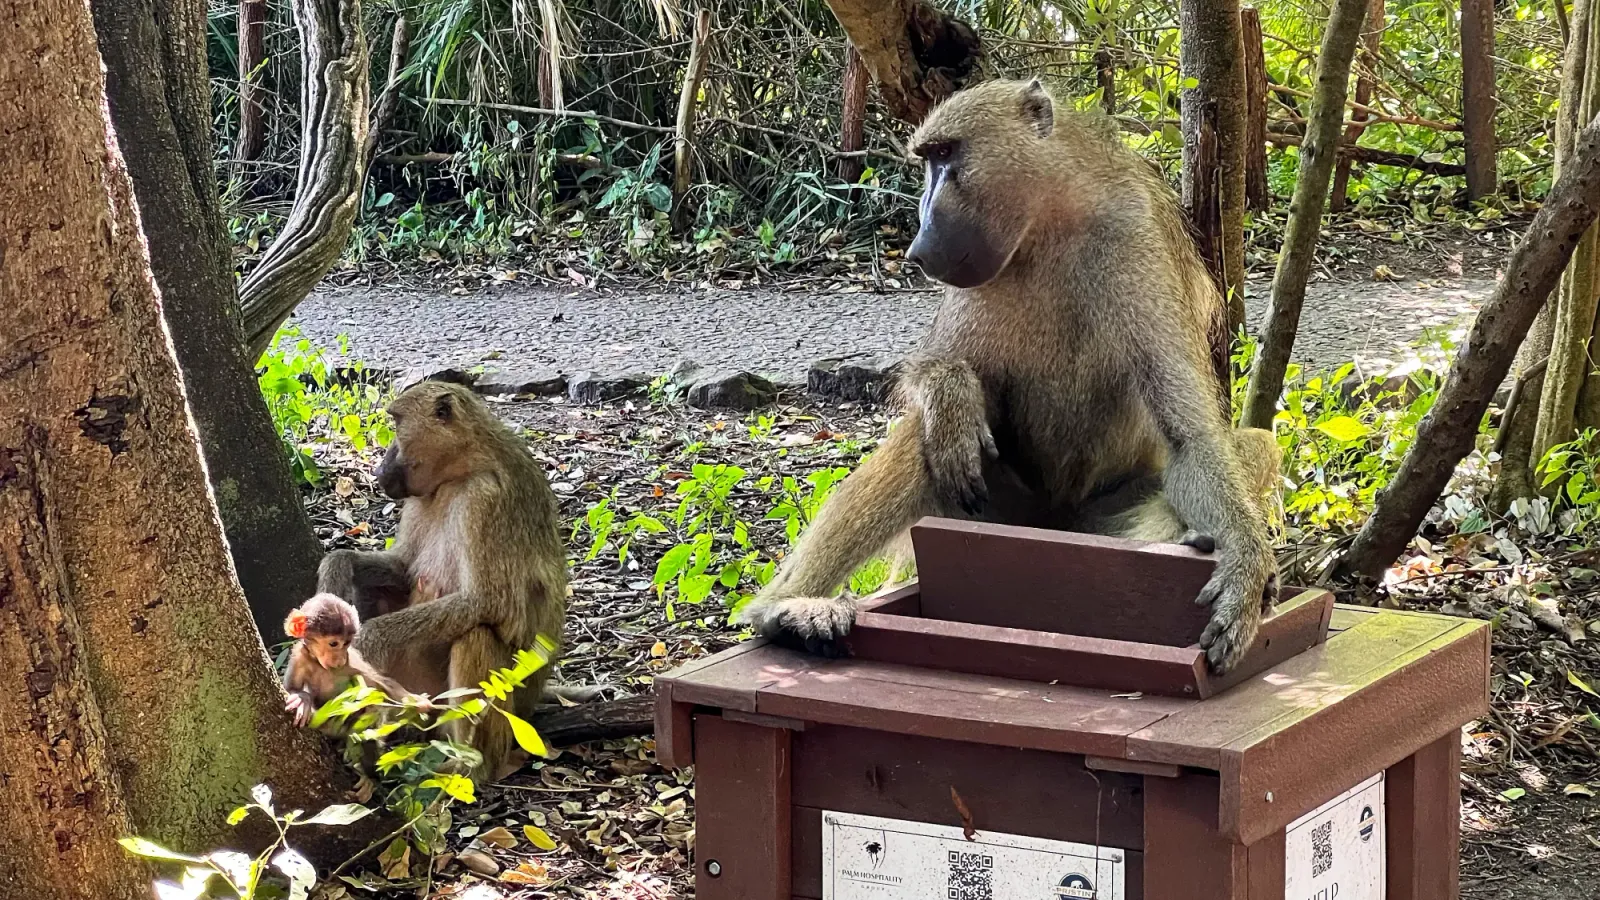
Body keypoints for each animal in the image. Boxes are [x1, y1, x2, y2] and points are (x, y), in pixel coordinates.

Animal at [317, 380, 568, 781]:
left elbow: (487, 602)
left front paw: (369, 641)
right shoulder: (419, 500)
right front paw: (335, 569)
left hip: (504, 713)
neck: (461, 473)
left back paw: (468, 767)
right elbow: (403, 570)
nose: (380, 467)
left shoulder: (485, 500)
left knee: (475, 635)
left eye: (396, 424)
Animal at [736, 78, 1277, 673]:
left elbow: (1191, 439)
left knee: (1256, 446)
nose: (918, 239)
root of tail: (1047, 527)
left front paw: (1244, 571)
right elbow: (930, 368)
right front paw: (950, 393)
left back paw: (1188, 545)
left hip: (1087, 522)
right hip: (987, 516)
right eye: (929, 159)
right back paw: (786, 609)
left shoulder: (1135, 240)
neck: (1051, 222)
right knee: (925, 442)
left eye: (947, 156)